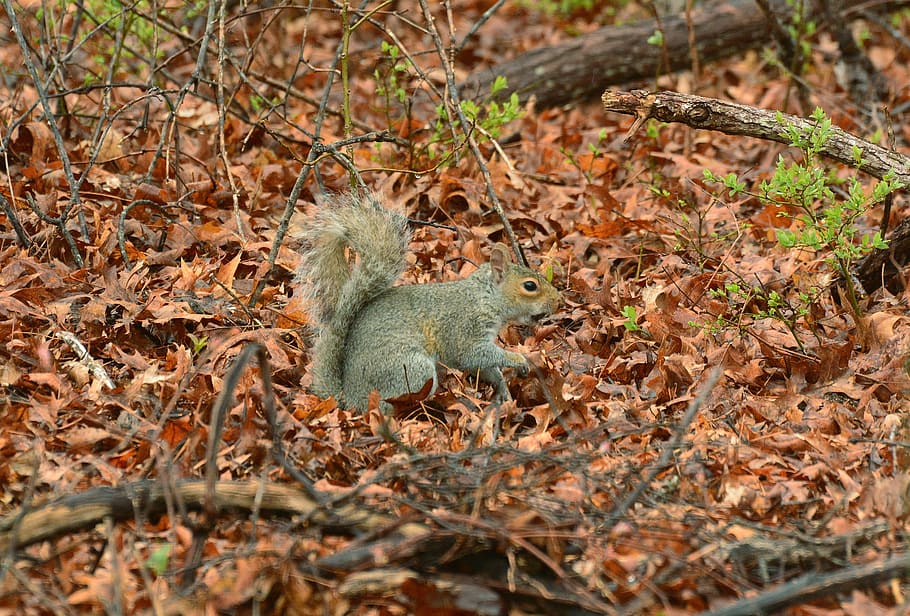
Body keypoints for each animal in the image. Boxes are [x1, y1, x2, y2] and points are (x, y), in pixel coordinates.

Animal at [297, 191, 561, 412]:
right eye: (530, 286)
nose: (558, 301)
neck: (484, 298)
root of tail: (350, 397)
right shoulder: (464, 329)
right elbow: (472, 355)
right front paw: (518, 359)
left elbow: (485, 366)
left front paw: (503, 388)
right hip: (410, 369)